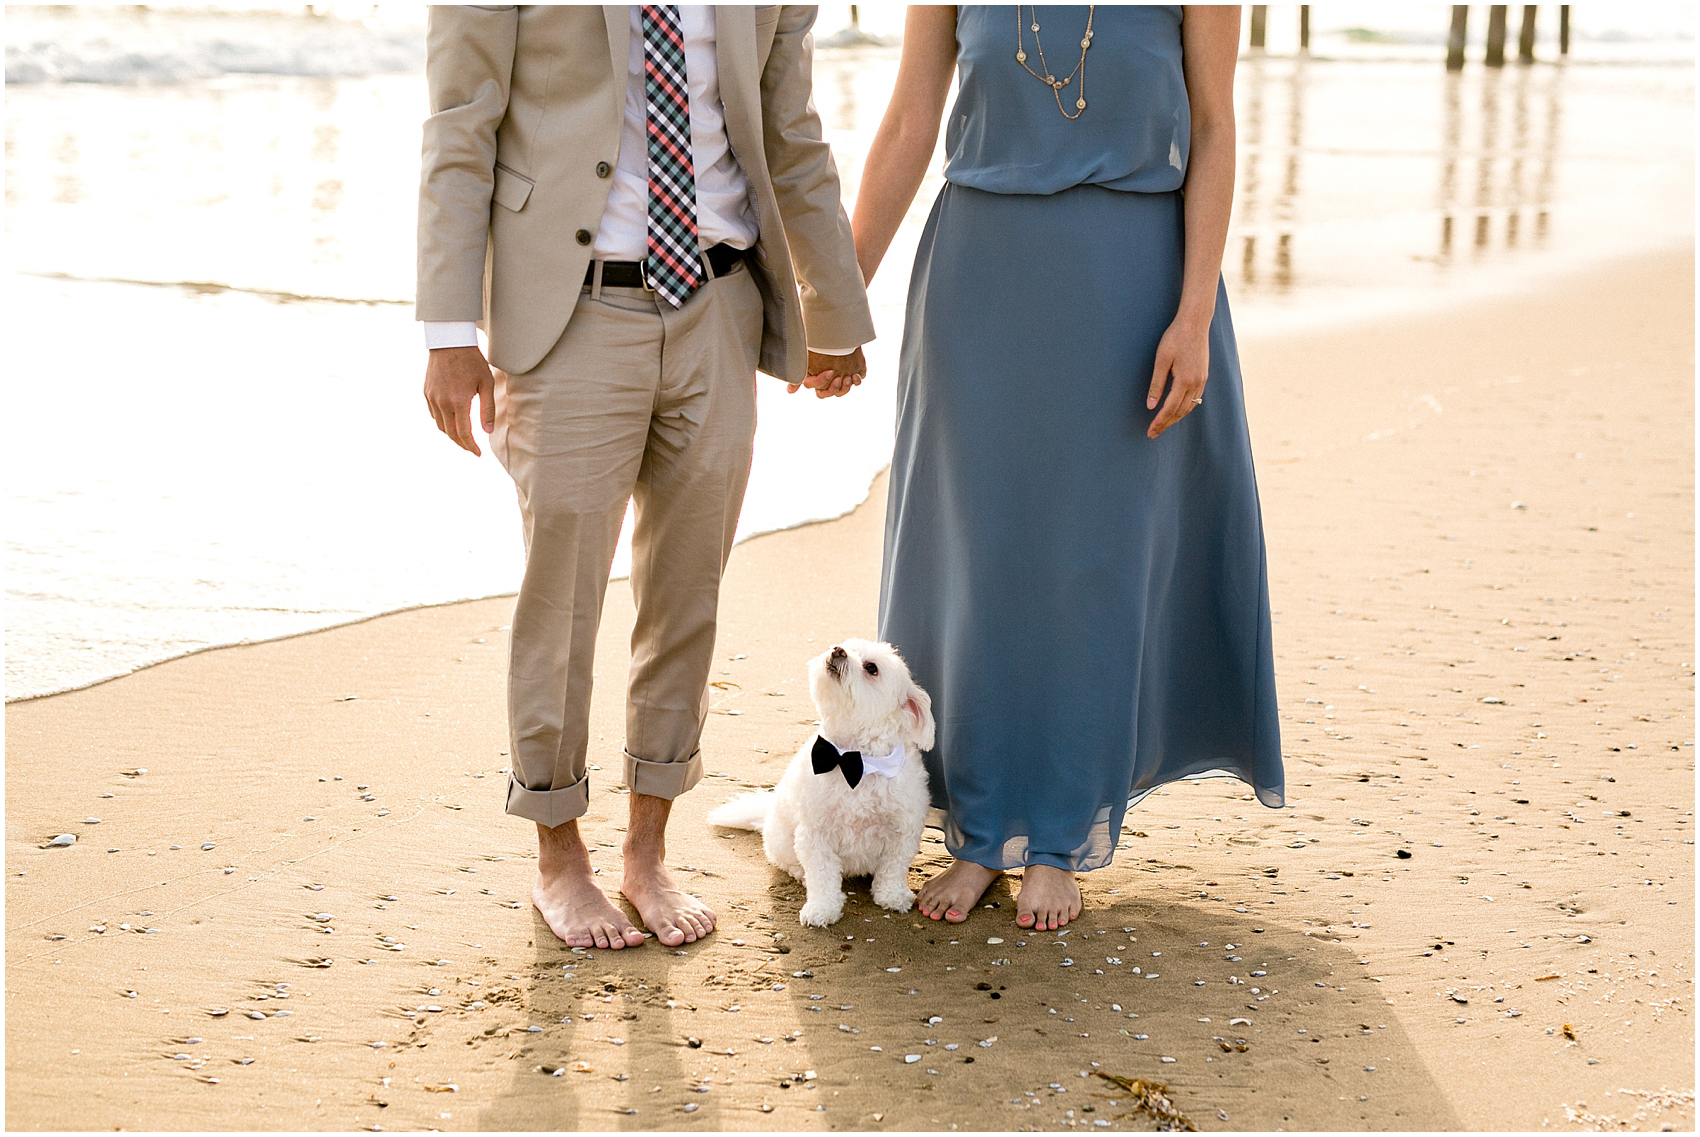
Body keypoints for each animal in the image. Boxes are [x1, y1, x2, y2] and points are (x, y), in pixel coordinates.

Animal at [710, 635, 938, 924]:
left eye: (872, 668)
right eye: (845, 645)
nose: (837, 651)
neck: (855, 761)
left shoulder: (903, 832)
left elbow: (893, 869)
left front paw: (892, 896)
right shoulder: (815, 835)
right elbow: (822, 876)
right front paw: (822, 908)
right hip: (782, 842)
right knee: (790, 863)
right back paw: (800, 875)